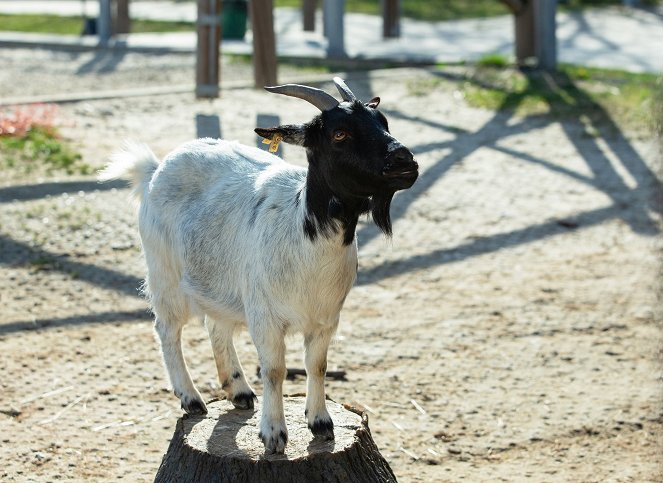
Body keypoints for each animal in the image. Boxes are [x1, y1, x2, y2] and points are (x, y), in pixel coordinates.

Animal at [99, 77, 420, 456]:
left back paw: (238, 391)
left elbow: (317, 365)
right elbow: (275, 370)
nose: (405, 161)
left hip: (218, 281)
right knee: (167, 329)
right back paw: (191, 399)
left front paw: (321, 423)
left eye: (383, 122)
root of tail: (154, 169)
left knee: (216, 326)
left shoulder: (326, 318)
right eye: (339, 134)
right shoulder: (265, 316)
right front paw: (274, 434)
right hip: (165, 272)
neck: (305, 234)